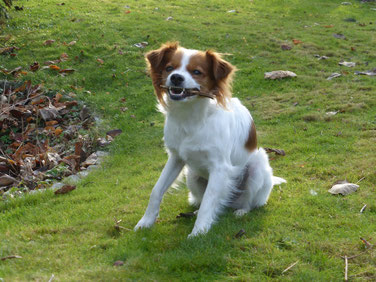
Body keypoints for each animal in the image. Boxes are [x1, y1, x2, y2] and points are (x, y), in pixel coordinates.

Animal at [134, 42, 284, 238]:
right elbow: (157, 190)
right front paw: (146, 222)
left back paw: (241, 211)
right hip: (192, 176)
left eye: (197, 72)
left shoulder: (220, 167)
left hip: (257, 168)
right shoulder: (176, 158)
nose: (176, 78)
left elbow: (208, 202)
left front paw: (199, 232)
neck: (191, 117)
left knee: (248, 202)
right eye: (169, 68)